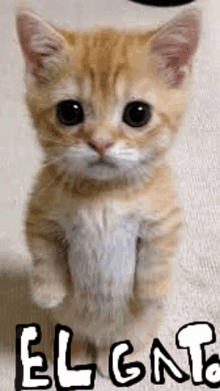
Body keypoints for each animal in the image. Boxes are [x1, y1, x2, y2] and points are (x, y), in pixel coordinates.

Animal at [16, 8, 200, 376]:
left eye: (137, 113)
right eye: (69, 112)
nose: (100, 142)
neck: (103, 194)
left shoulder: (163, 218)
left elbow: (158, 256)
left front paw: (154, 292)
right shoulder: (40, 214)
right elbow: (44, 254)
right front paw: (47, 292)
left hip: (137, 331)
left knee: (125, 341)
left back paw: (115, 358)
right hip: (70, 324)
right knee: (77, 336)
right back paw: (77, 358)